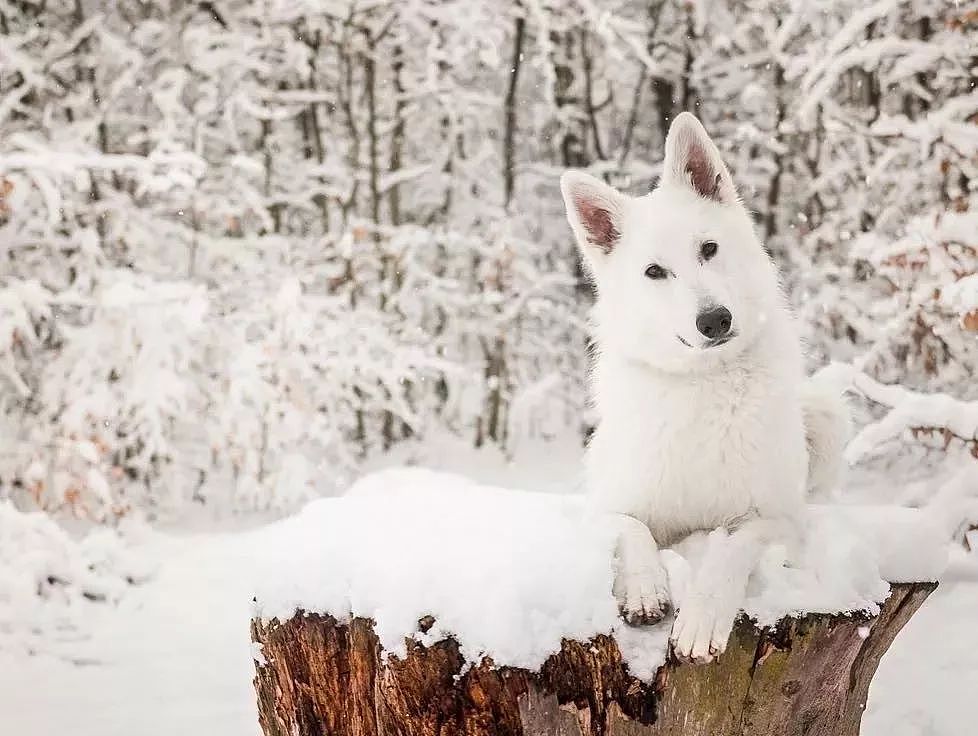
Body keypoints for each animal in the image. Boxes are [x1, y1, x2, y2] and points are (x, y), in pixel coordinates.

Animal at [560, 112, 852, 664]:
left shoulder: (779, 519)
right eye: (654, 271)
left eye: (709, 249)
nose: (715, 320)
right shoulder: (603, 509)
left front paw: (702, 618)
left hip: (823, 414)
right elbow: (632, 527)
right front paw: (646, 588)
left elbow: (733, 546)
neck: (704, 382)